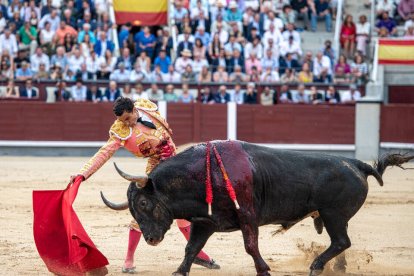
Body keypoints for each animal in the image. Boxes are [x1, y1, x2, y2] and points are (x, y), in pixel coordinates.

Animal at [101, 141, 414, 274]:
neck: (205, 173)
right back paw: (336, 267)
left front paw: (264, 269)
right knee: (342, 243)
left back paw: (316, 266)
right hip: (335, 217)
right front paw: (180, 272)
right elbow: (190, 248)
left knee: (341, 241)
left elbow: (251, 246)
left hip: (333, 215)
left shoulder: (248, 216)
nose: (151, 239)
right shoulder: (206, 222)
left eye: (144, 202)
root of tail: (356, 164)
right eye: (132, 209)